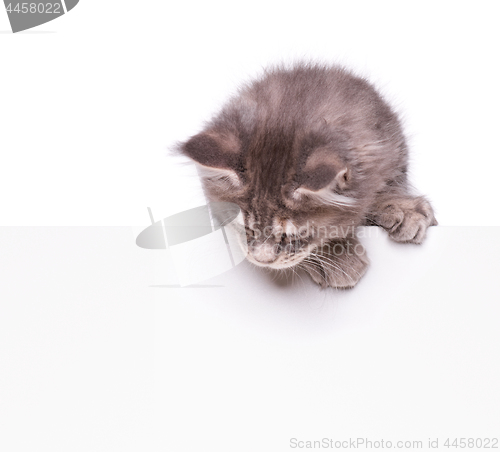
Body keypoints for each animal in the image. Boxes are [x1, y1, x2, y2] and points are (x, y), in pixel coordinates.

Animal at [178, 63, 436, 288]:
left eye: (292, 236)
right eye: (246, 228)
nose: (262, 260)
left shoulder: (390, 143)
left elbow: (389, 183)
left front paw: (404, 209)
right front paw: (338, 258)